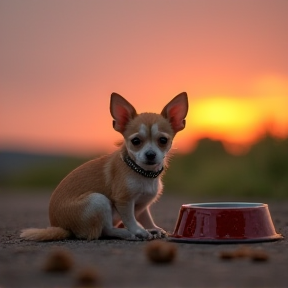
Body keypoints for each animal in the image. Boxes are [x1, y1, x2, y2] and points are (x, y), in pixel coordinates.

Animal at [20, 92, 188, 241]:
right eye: (135, 141)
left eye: (163, 140)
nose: (150, 154)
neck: (143, 173)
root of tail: (62, 227)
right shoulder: (123, 201)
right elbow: (130, 219)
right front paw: (138, 230)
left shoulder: (142, 205)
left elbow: (146, 217)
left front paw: (153, 227)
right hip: (98, 200)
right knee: (104, 231)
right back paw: (128, 234)